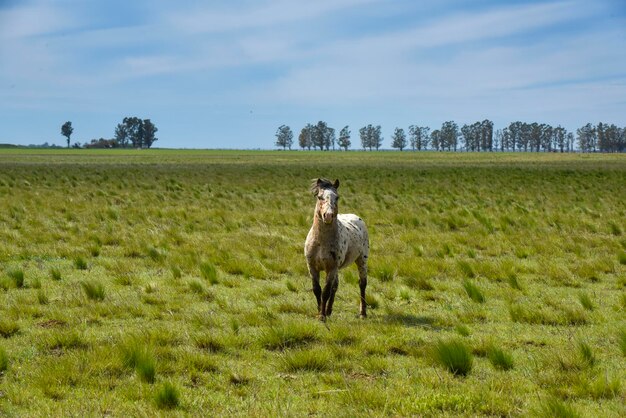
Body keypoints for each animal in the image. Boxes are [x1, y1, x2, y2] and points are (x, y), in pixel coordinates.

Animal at [304, 178, 368, 322]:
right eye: (319, 197)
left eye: (337, 197)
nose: (328, 216)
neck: (321, 242)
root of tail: (357, 218)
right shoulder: (312, 267)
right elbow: (317, 290)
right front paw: (320, 312)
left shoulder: (331, 268)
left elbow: (325, 292)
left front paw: (322, 316)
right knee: (335, 286)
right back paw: (329, 311)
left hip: (361, 260)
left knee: (362, 284)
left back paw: (363, 313)